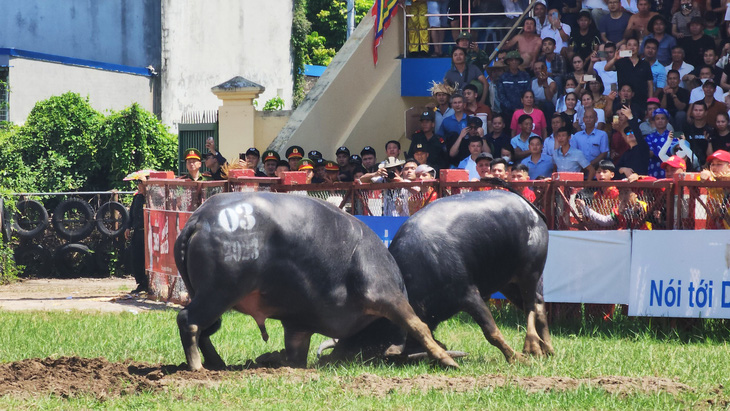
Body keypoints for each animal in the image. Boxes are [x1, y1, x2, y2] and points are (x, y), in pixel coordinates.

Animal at [172, 192, 456, 372]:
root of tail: (199, 218)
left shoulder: (297, 326)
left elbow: (295, 354)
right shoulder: (383, 294)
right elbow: (416, 324)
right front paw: (446, 359)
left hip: (208, 295)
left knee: (205, 329)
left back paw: (217, 363)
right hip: (220, 292)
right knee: (188, 320)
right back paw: (197, 366)